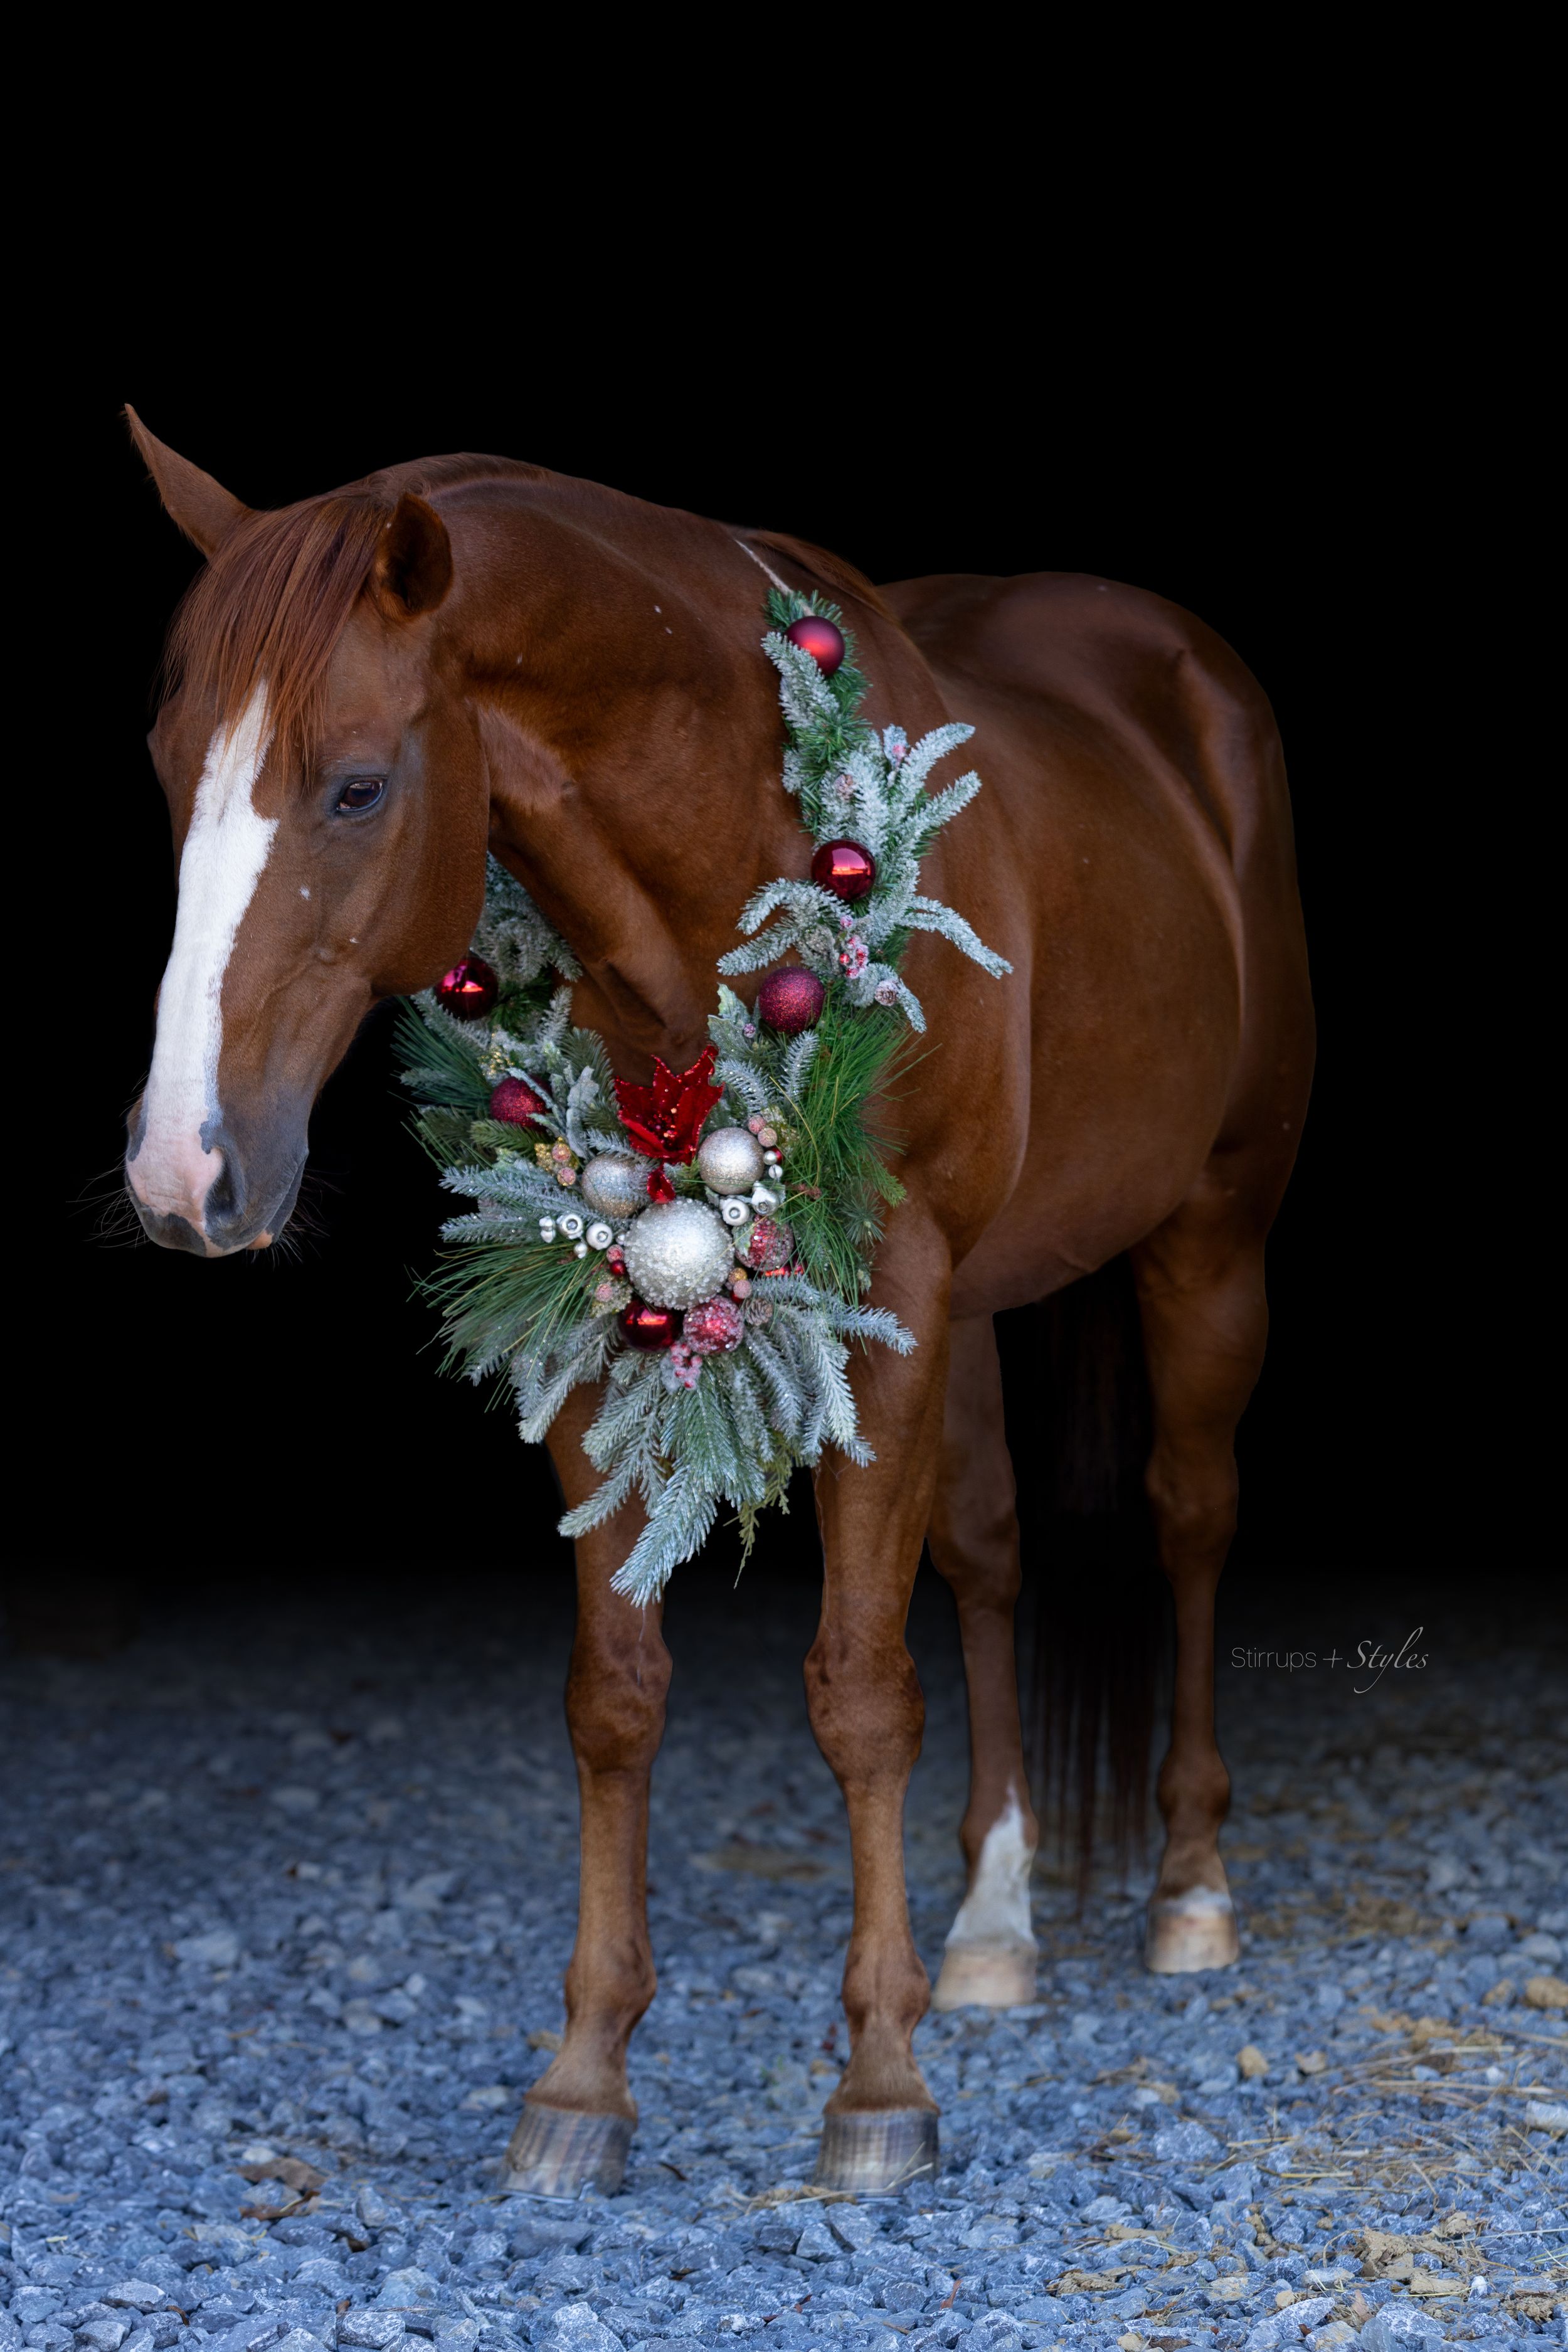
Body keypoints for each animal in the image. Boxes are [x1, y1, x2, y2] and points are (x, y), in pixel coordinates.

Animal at [121, 409, 1314, 2198]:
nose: (181, 1170)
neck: (730, 862)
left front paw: (878, 2083)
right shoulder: (593, 1298)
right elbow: (616, 1694)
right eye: (162, 764)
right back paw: (994, 1922)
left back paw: (1187, 1888)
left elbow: (860, 1691)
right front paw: (583, 2079)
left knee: (1185, 1523)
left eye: (356, 785)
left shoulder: (893, 1294)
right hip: (969, 1318)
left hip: (1206, 1237)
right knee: (990, 1556)